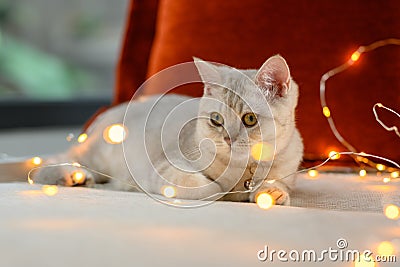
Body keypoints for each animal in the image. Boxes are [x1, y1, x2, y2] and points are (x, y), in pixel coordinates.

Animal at [33, 54, 304, 205]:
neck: (242, 170)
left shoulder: (287, 171)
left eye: (249, 119)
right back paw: (70, 176)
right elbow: (208, 188)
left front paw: (272, 192)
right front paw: (224, 192)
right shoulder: (167, 168)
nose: (228, 138)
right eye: (216, 120)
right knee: (52, 162)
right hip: (94, 156)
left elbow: (278, 184)